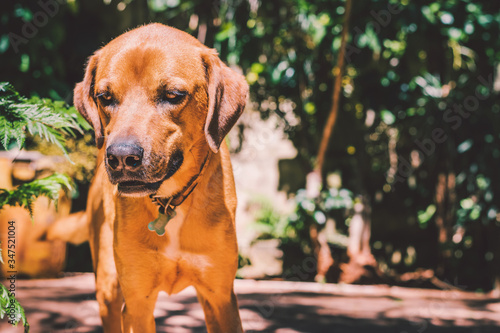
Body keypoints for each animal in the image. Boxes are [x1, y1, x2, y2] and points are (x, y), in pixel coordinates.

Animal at [73, 24, 247, 332]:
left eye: (173, 94)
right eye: (105, 97)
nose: (121, 157)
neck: (171, 203)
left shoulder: (221, 297)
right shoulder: (138, 302)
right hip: (108, 288)